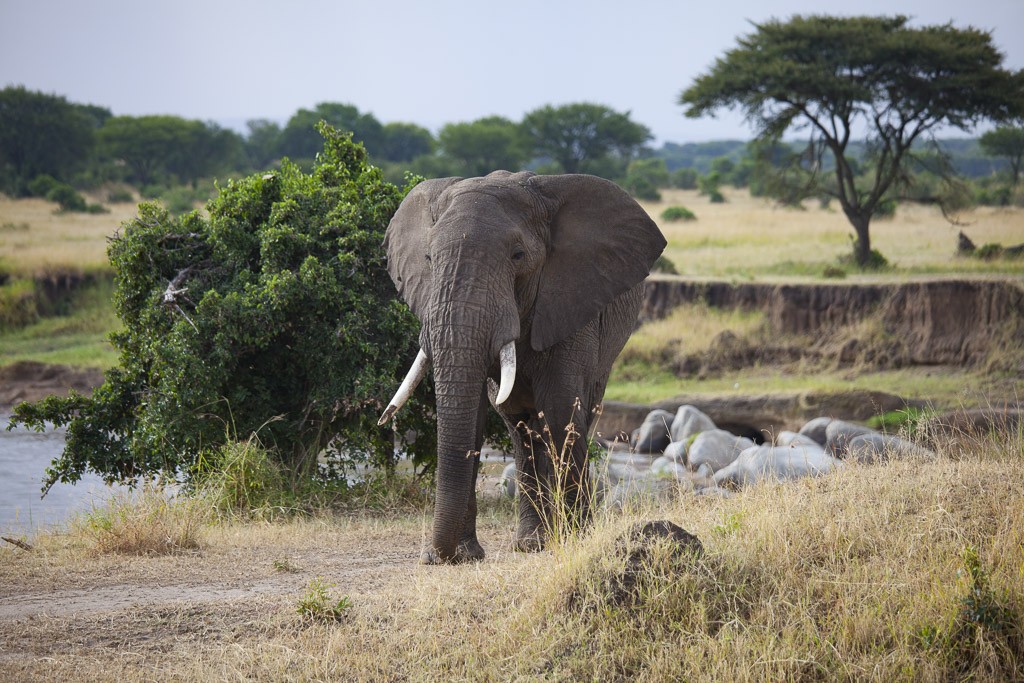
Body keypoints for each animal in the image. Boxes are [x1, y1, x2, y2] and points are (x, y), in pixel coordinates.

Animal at [376, 171, 663, 565]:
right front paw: (465, 555)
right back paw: (531, 542)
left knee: (570, 415)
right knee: (520, 425)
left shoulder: (572, 300)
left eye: (518, 256)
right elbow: (476, 414)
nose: (432, 557)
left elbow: (561, 409)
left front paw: (575, 541)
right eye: (429, 258)